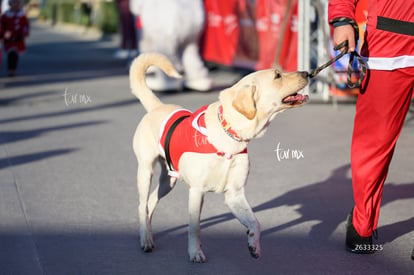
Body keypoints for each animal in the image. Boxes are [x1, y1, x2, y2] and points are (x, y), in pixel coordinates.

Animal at [131, 52, 308, 264]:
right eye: (277, 76)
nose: (307, 73)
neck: (229, 135)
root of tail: (158, 107)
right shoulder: (196, 191)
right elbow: (194, 227)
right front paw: (195, 253)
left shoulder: (235, 194)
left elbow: (254, 223)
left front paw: (253, 245)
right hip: (145, 172)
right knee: (141, 205)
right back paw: (144, 239)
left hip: (168, 180)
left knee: (150, 203)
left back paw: (148, 235)